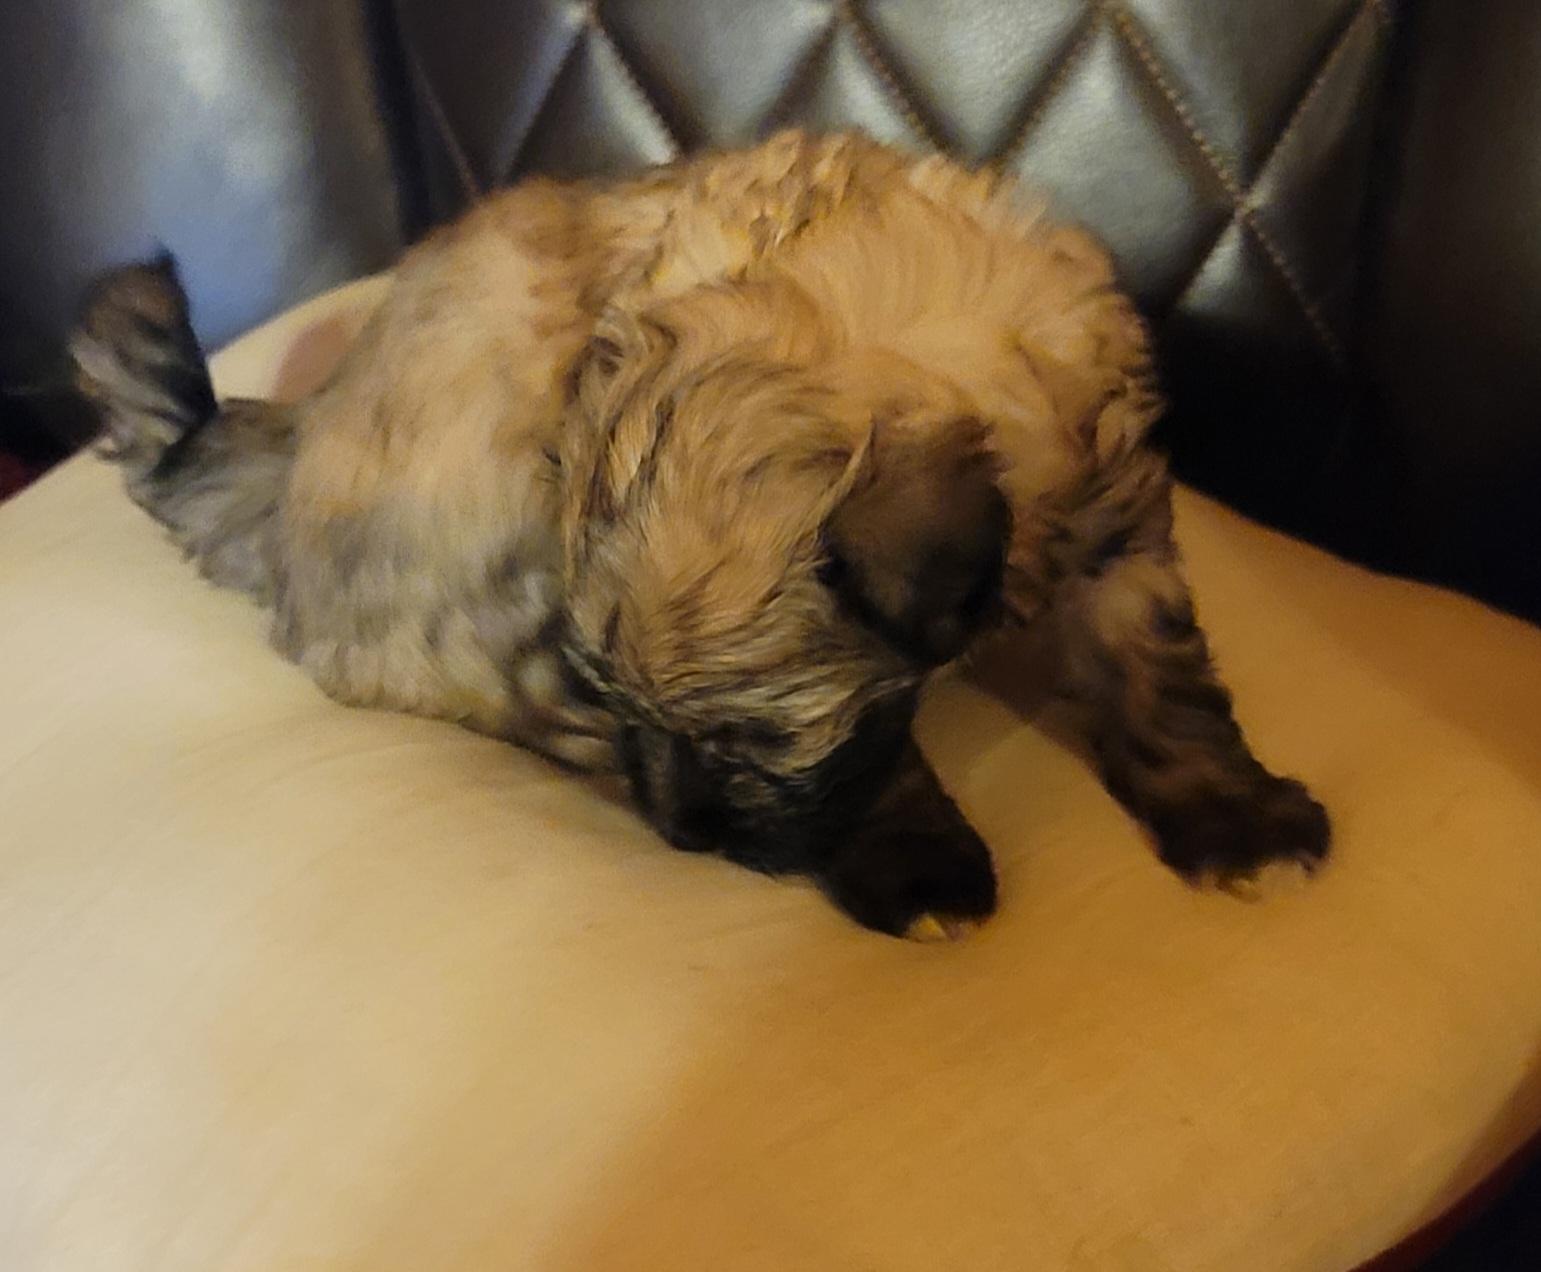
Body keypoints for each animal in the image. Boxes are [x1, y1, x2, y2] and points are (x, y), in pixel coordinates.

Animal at [71, 130, 1328, 939]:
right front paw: (913, 859)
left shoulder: (1116, 514)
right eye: (645, 712)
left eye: (746, 740)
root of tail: (283, 467)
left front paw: (1232, 816)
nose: (683, 837)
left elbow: (1157, 677)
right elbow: (880, 767)